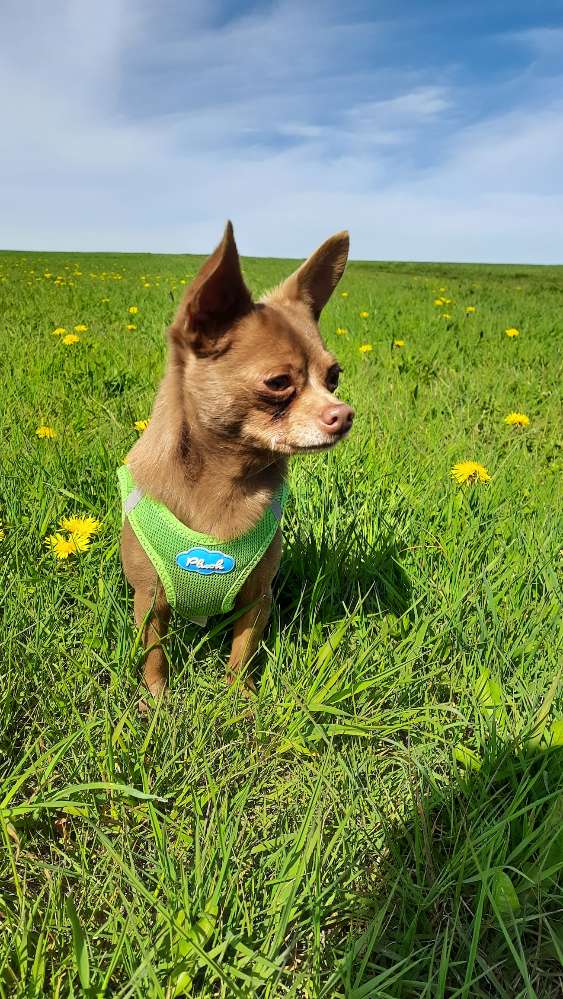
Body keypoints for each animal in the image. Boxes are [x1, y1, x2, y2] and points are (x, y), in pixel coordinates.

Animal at [121, 223, 354, 700]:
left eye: (333, 377)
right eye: (278, 382)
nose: (344, 414)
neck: (226, 481)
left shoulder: (257, 598)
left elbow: (242, 652)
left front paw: (239, 698)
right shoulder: (150, 599)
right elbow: (155, 655)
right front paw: (156, 700)